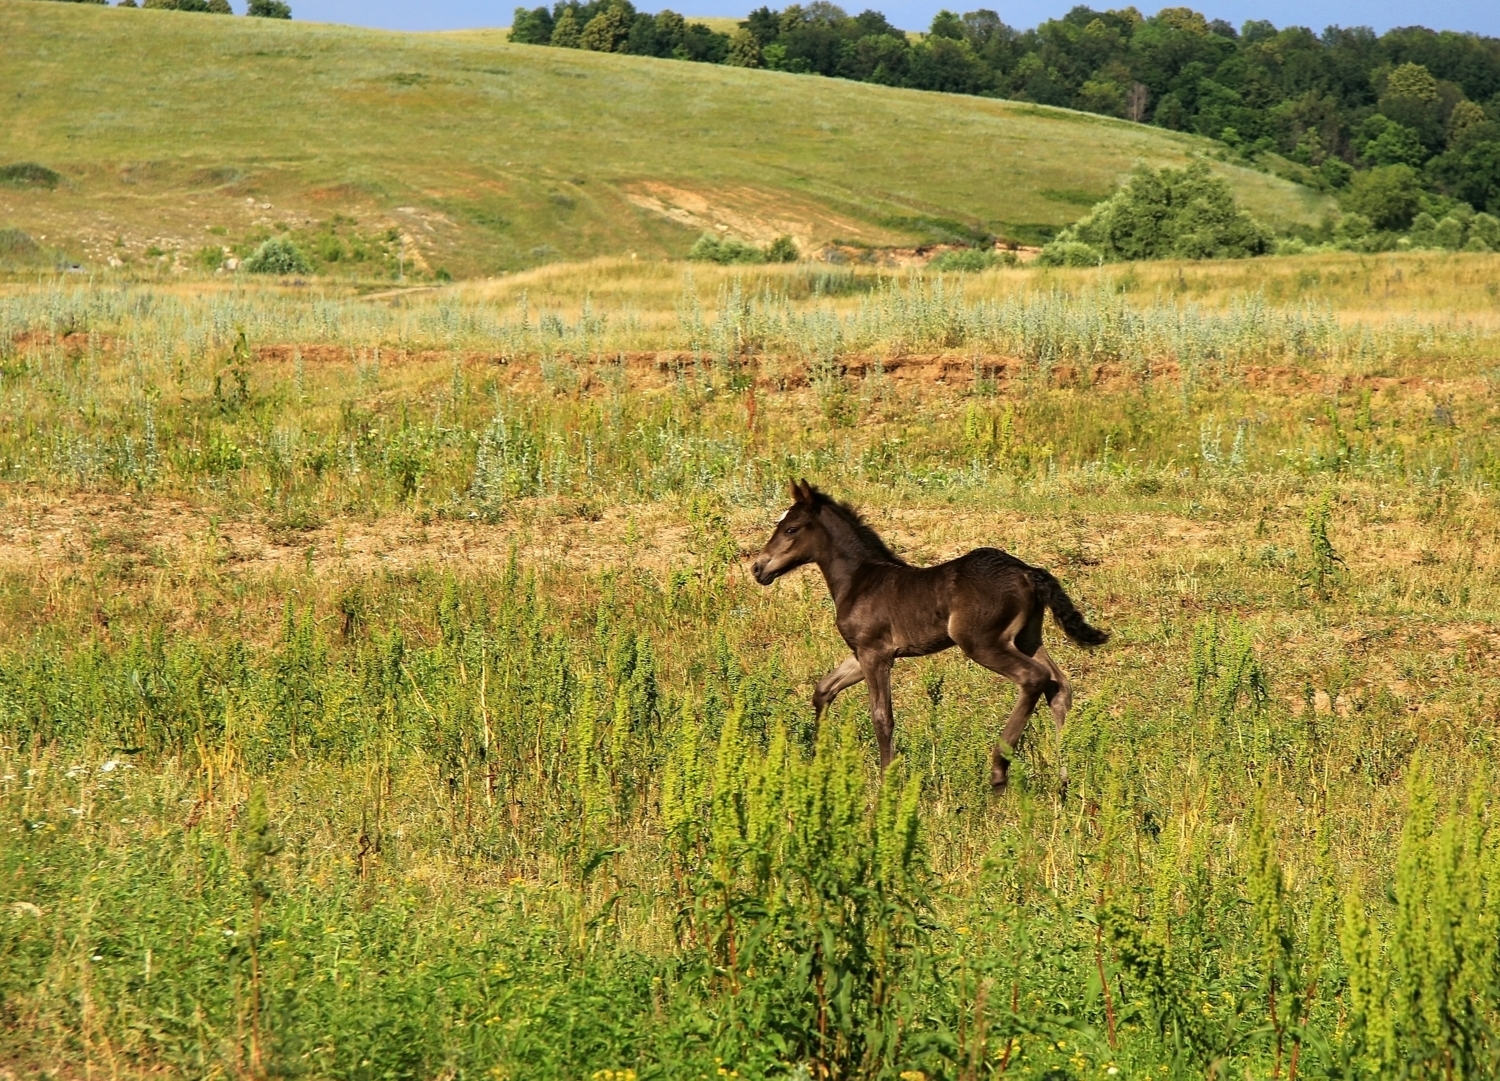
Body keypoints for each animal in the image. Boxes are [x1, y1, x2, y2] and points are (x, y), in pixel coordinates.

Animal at [747, 485, 1110, 785]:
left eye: (791, 528)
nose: (758, 568)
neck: (859, 580)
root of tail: (1028, 572)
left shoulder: (875, 654)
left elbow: (882, 717)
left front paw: (887, 781)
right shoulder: (861, 653)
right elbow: (823, 690)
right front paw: (818, 761)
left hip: (982, 642)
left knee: (1033, 677)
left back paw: (999, 769)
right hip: (1027, 638)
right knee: (1058, 685)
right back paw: (1063, 781)